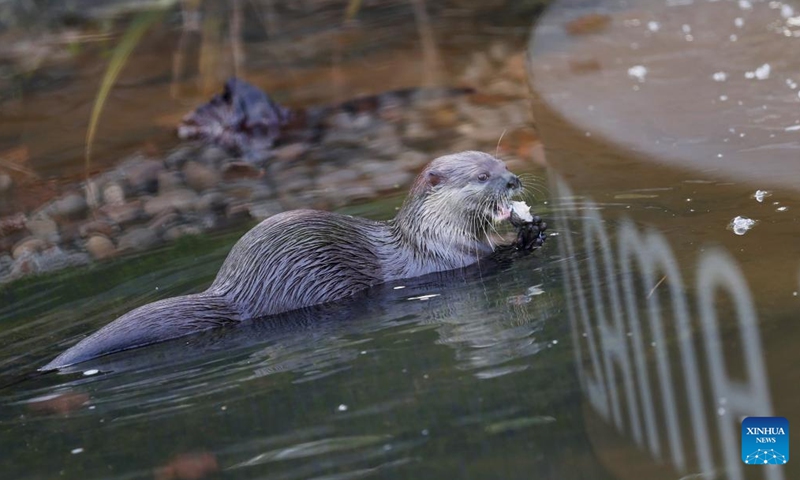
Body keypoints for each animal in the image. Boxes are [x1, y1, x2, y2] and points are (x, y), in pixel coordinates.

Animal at [41, 151, 546, 371]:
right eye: (482, 175)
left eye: (501, 161)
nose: (513, 179)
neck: (429, 235)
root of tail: (232, 294)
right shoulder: (450, 261)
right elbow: (493, 260)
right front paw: (527, 235)